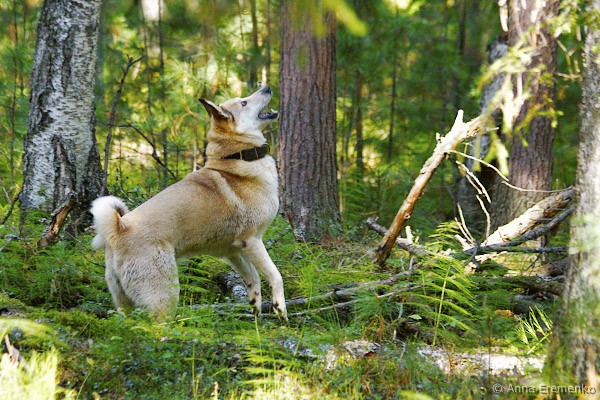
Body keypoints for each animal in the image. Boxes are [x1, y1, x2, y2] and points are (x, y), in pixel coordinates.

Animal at [90, 86, 287, 321]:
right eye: (244, 102)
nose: (266, 87)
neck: (237, 156)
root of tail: (119, 229)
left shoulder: (233, 251)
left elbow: (253, 279)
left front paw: (256, 313)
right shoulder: (252, 241)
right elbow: (275, 276)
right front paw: (280, 310)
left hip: (123, 302)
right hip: (164, 296)